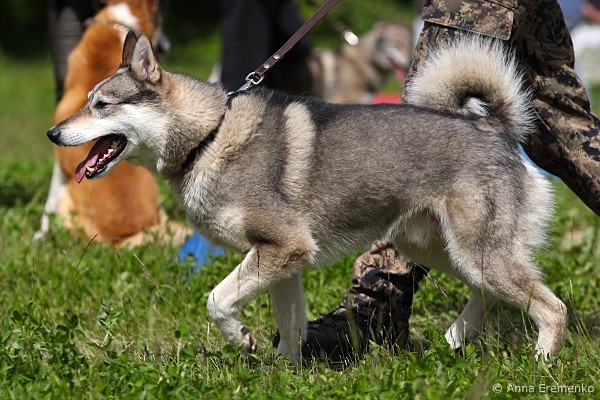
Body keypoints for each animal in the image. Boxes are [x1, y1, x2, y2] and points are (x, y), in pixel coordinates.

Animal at [47, 31, 567, 361]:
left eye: (102, 105)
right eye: (86, 100)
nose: (53, 133)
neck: (208, 137)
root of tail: (497, 128)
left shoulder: (282, 249)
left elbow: (216, 301)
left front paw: (244, 340)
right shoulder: (281, 260)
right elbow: (291, 326)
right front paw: (283, 372)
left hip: (476, 252)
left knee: (551, 307)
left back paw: (539, 363)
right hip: (434, 248)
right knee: (489, 294)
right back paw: (457, 338)